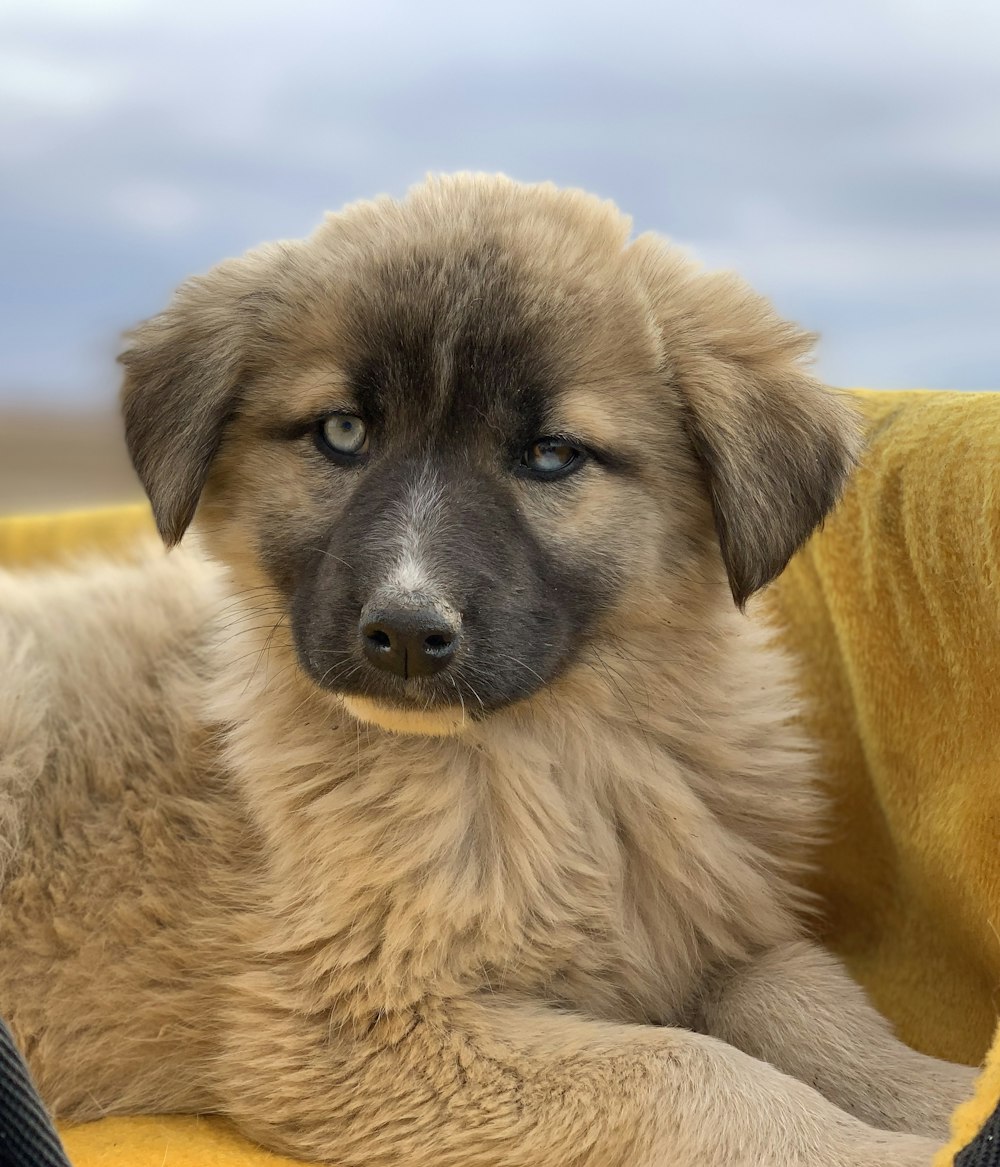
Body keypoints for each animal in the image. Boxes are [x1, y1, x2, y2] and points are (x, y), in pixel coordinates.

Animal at [0, 175, 970, 1167]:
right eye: (342, 432)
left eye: (551, 453)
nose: (403, 631)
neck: (546, 757)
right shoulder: (347, 1025)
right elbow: (684, 1069)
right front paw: (885, 1145)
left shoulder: (699, 928)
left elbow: (809, 997)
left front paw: (941, 1099)